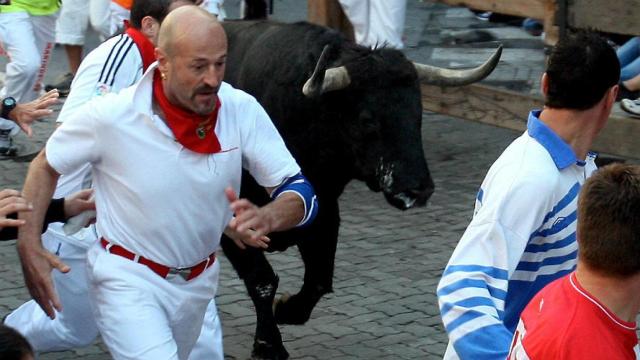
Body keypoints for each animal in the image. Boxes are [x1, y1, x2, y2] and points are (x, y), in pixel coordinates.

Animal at [220, 20, 500, 360]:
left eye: (418, 113)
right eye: (367, 119)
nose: (418, 189)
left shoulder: (325, 214)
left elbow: (319, 279)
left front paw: (286, 308)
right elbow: (261, 281)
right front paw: (268, 344)